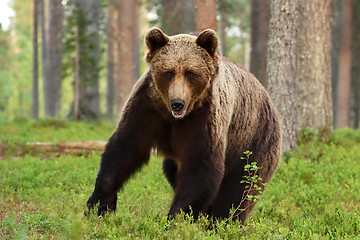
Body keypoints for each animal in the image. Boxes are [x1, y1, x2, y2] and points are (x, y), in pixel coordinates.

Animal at [86, 27, 282, 223]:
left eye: (190, 73)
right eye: (168, 72)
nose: (177, 103)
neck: (172, 116)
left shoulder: (204, 119)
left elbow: (200, 166)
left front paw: (176, 218)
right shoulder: (147, 108)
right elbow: (125, 149)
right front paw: (98, 205)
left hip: (254, 140)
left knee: (240, 187)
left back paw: (223, 220)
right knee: (172, 168)